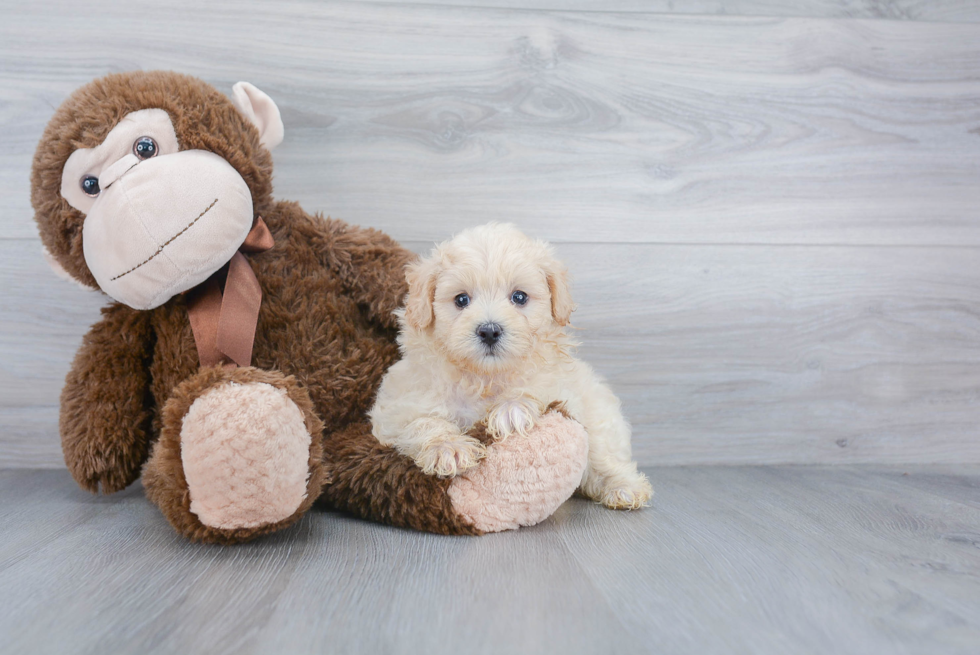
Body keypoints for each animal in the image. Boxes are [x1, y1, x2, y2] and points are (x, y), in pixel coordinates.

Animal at [372, 223, 656, 510]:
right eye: (461, 300)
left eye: (519, 297)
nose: (489, 330)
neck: (484, 377)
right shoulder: (396, 409)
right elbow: (421, 422)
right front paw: (449, 447)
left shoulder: (564, 390)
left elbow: (537, 390)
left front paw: (511, 410)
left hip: (601, 417)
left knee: (602, 456)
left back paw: (623, 487)